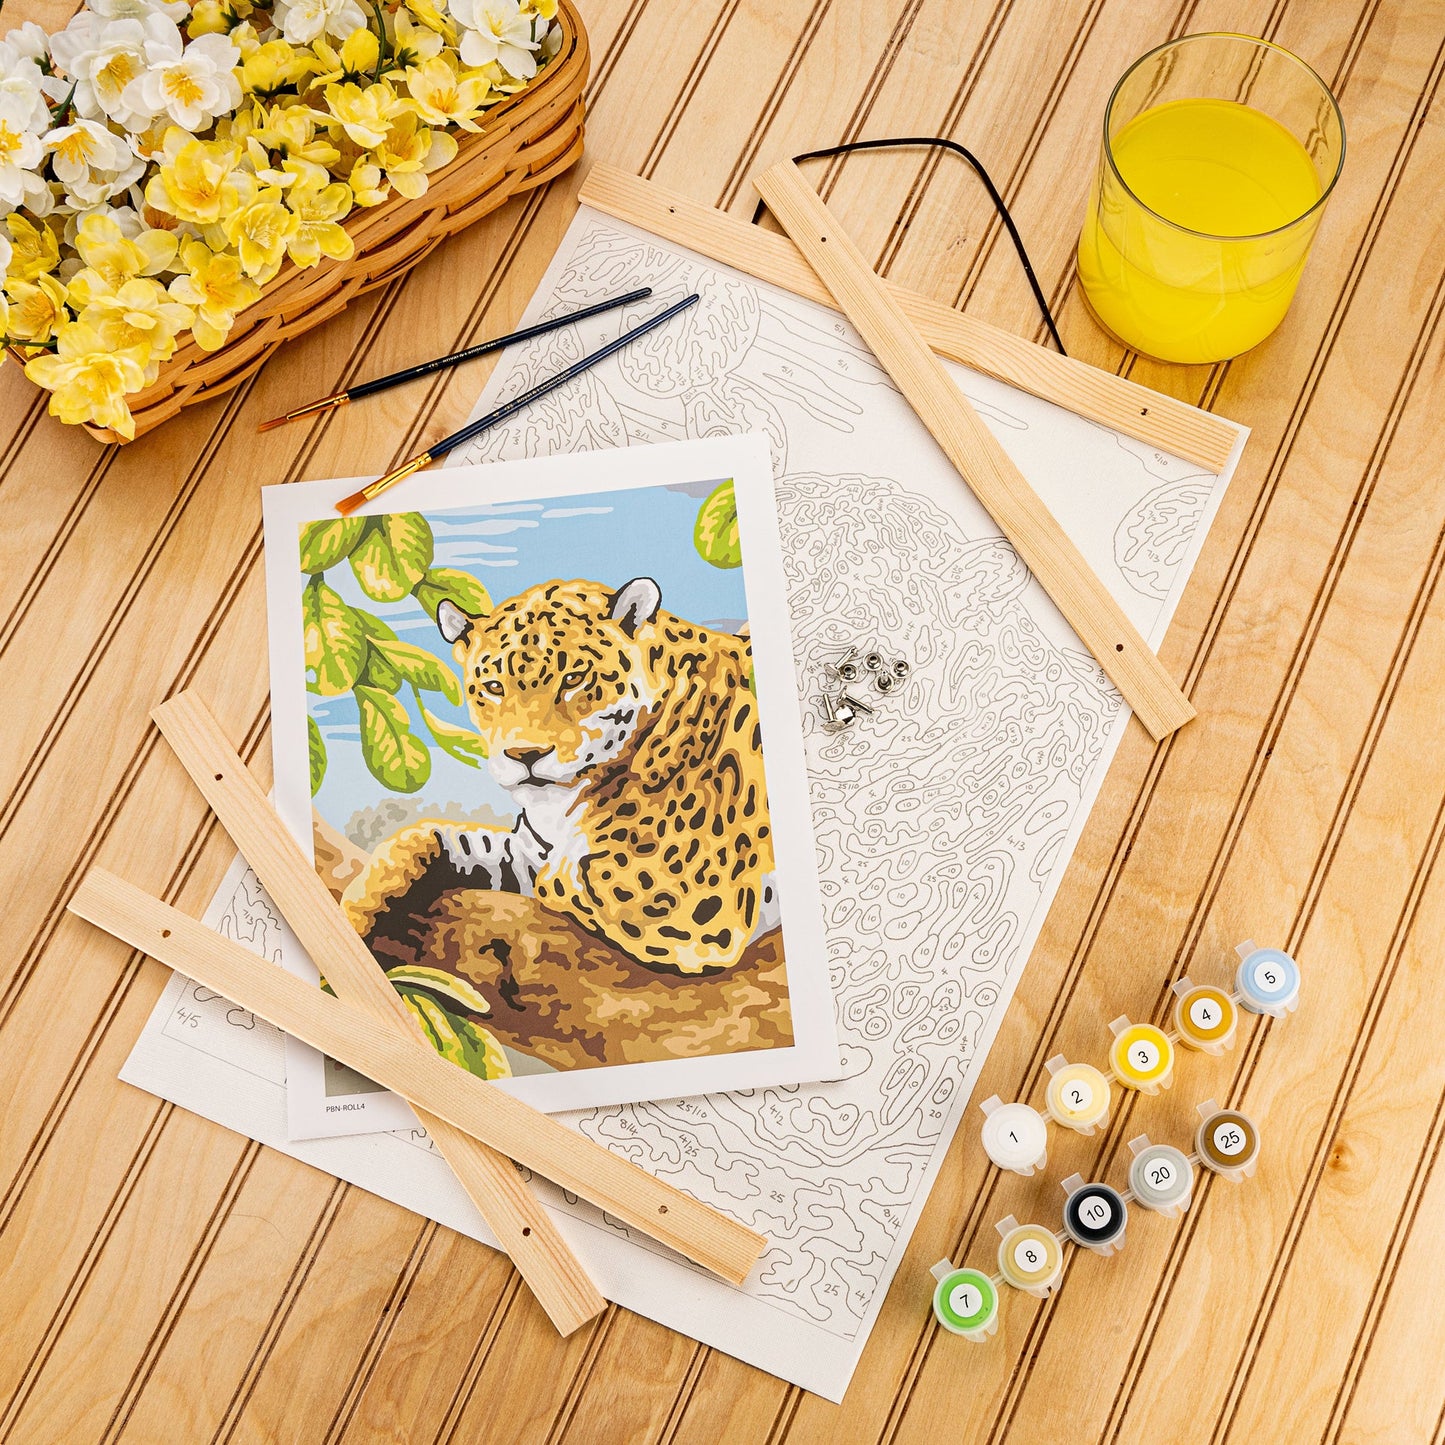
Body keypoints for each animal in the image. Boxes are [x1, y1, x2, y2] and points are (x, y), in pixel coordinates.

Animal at [346, 575, 781, 979]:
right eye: (493, 687)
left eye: (573, 679)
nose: (525, 755)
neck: (560, 805)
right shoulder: (523, 851)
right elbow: (428, 837)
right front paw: (354, 914)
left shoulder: (679, 908)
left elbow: (557, 879)